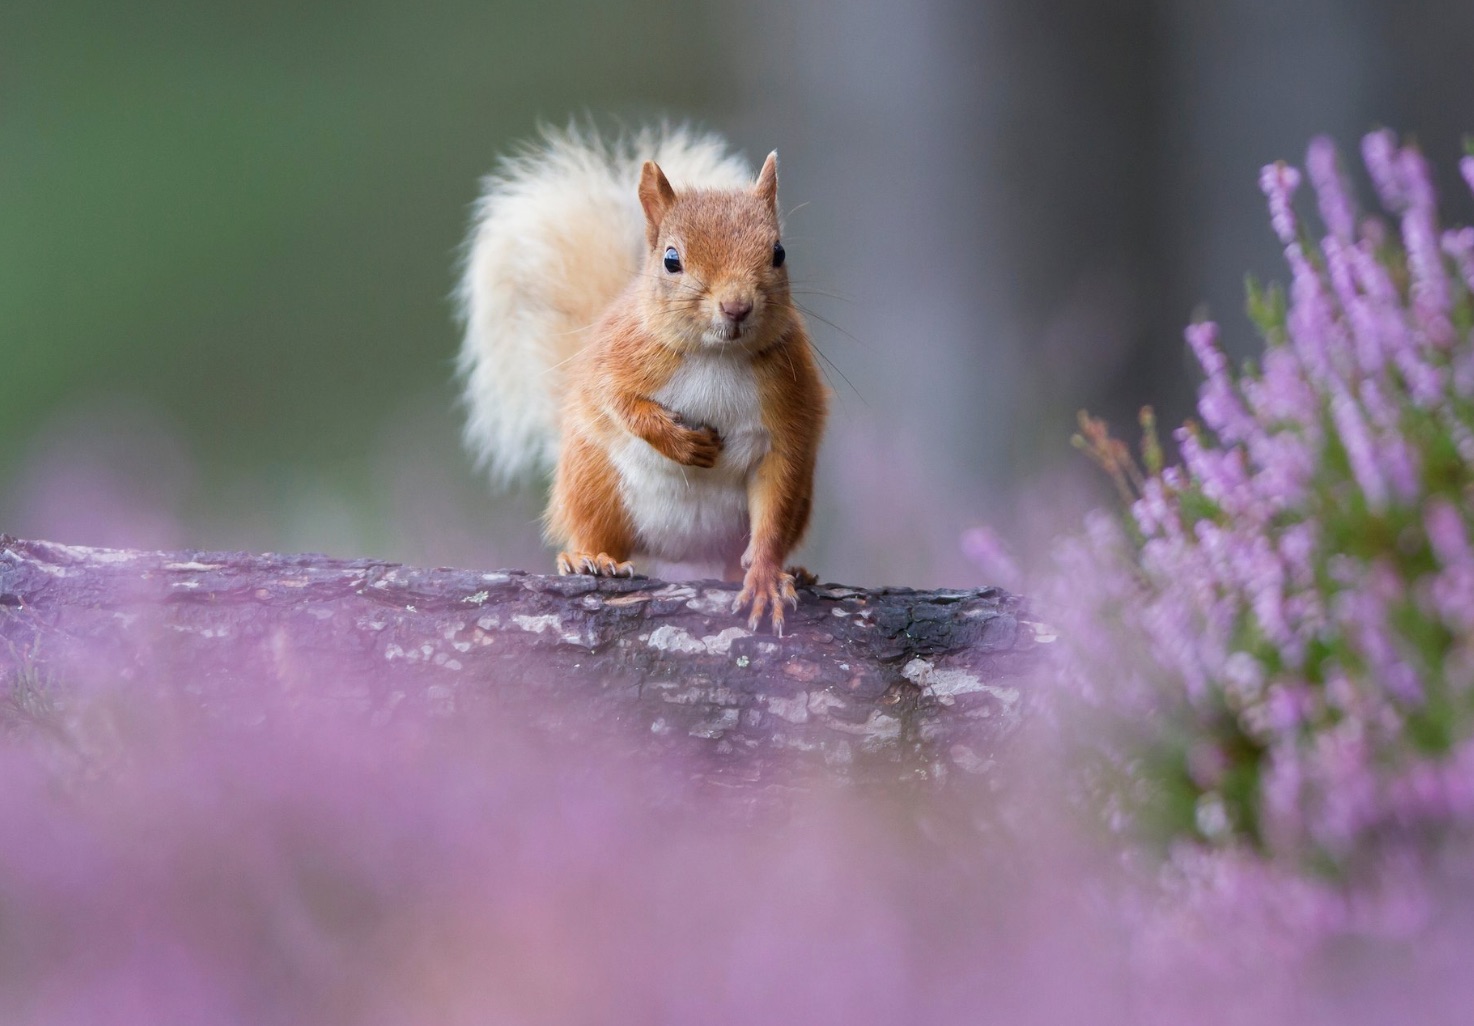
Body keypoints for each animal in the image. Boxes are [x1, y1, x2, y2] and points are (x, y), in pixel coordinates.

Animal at [456, 125, 828, 634]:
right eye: (671, 259)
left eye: (779, 253)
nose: (736, 307)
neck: (716, 356)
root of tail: (682, 550)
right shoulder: (616, 359)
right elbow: (618, 402)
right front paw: (681, 443)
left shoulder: (788, 409)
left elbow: (773, 509)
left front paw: (768, 579)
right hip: (593, 481)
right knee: (596, 530)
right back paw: (589, 559)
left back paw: (792, 572)